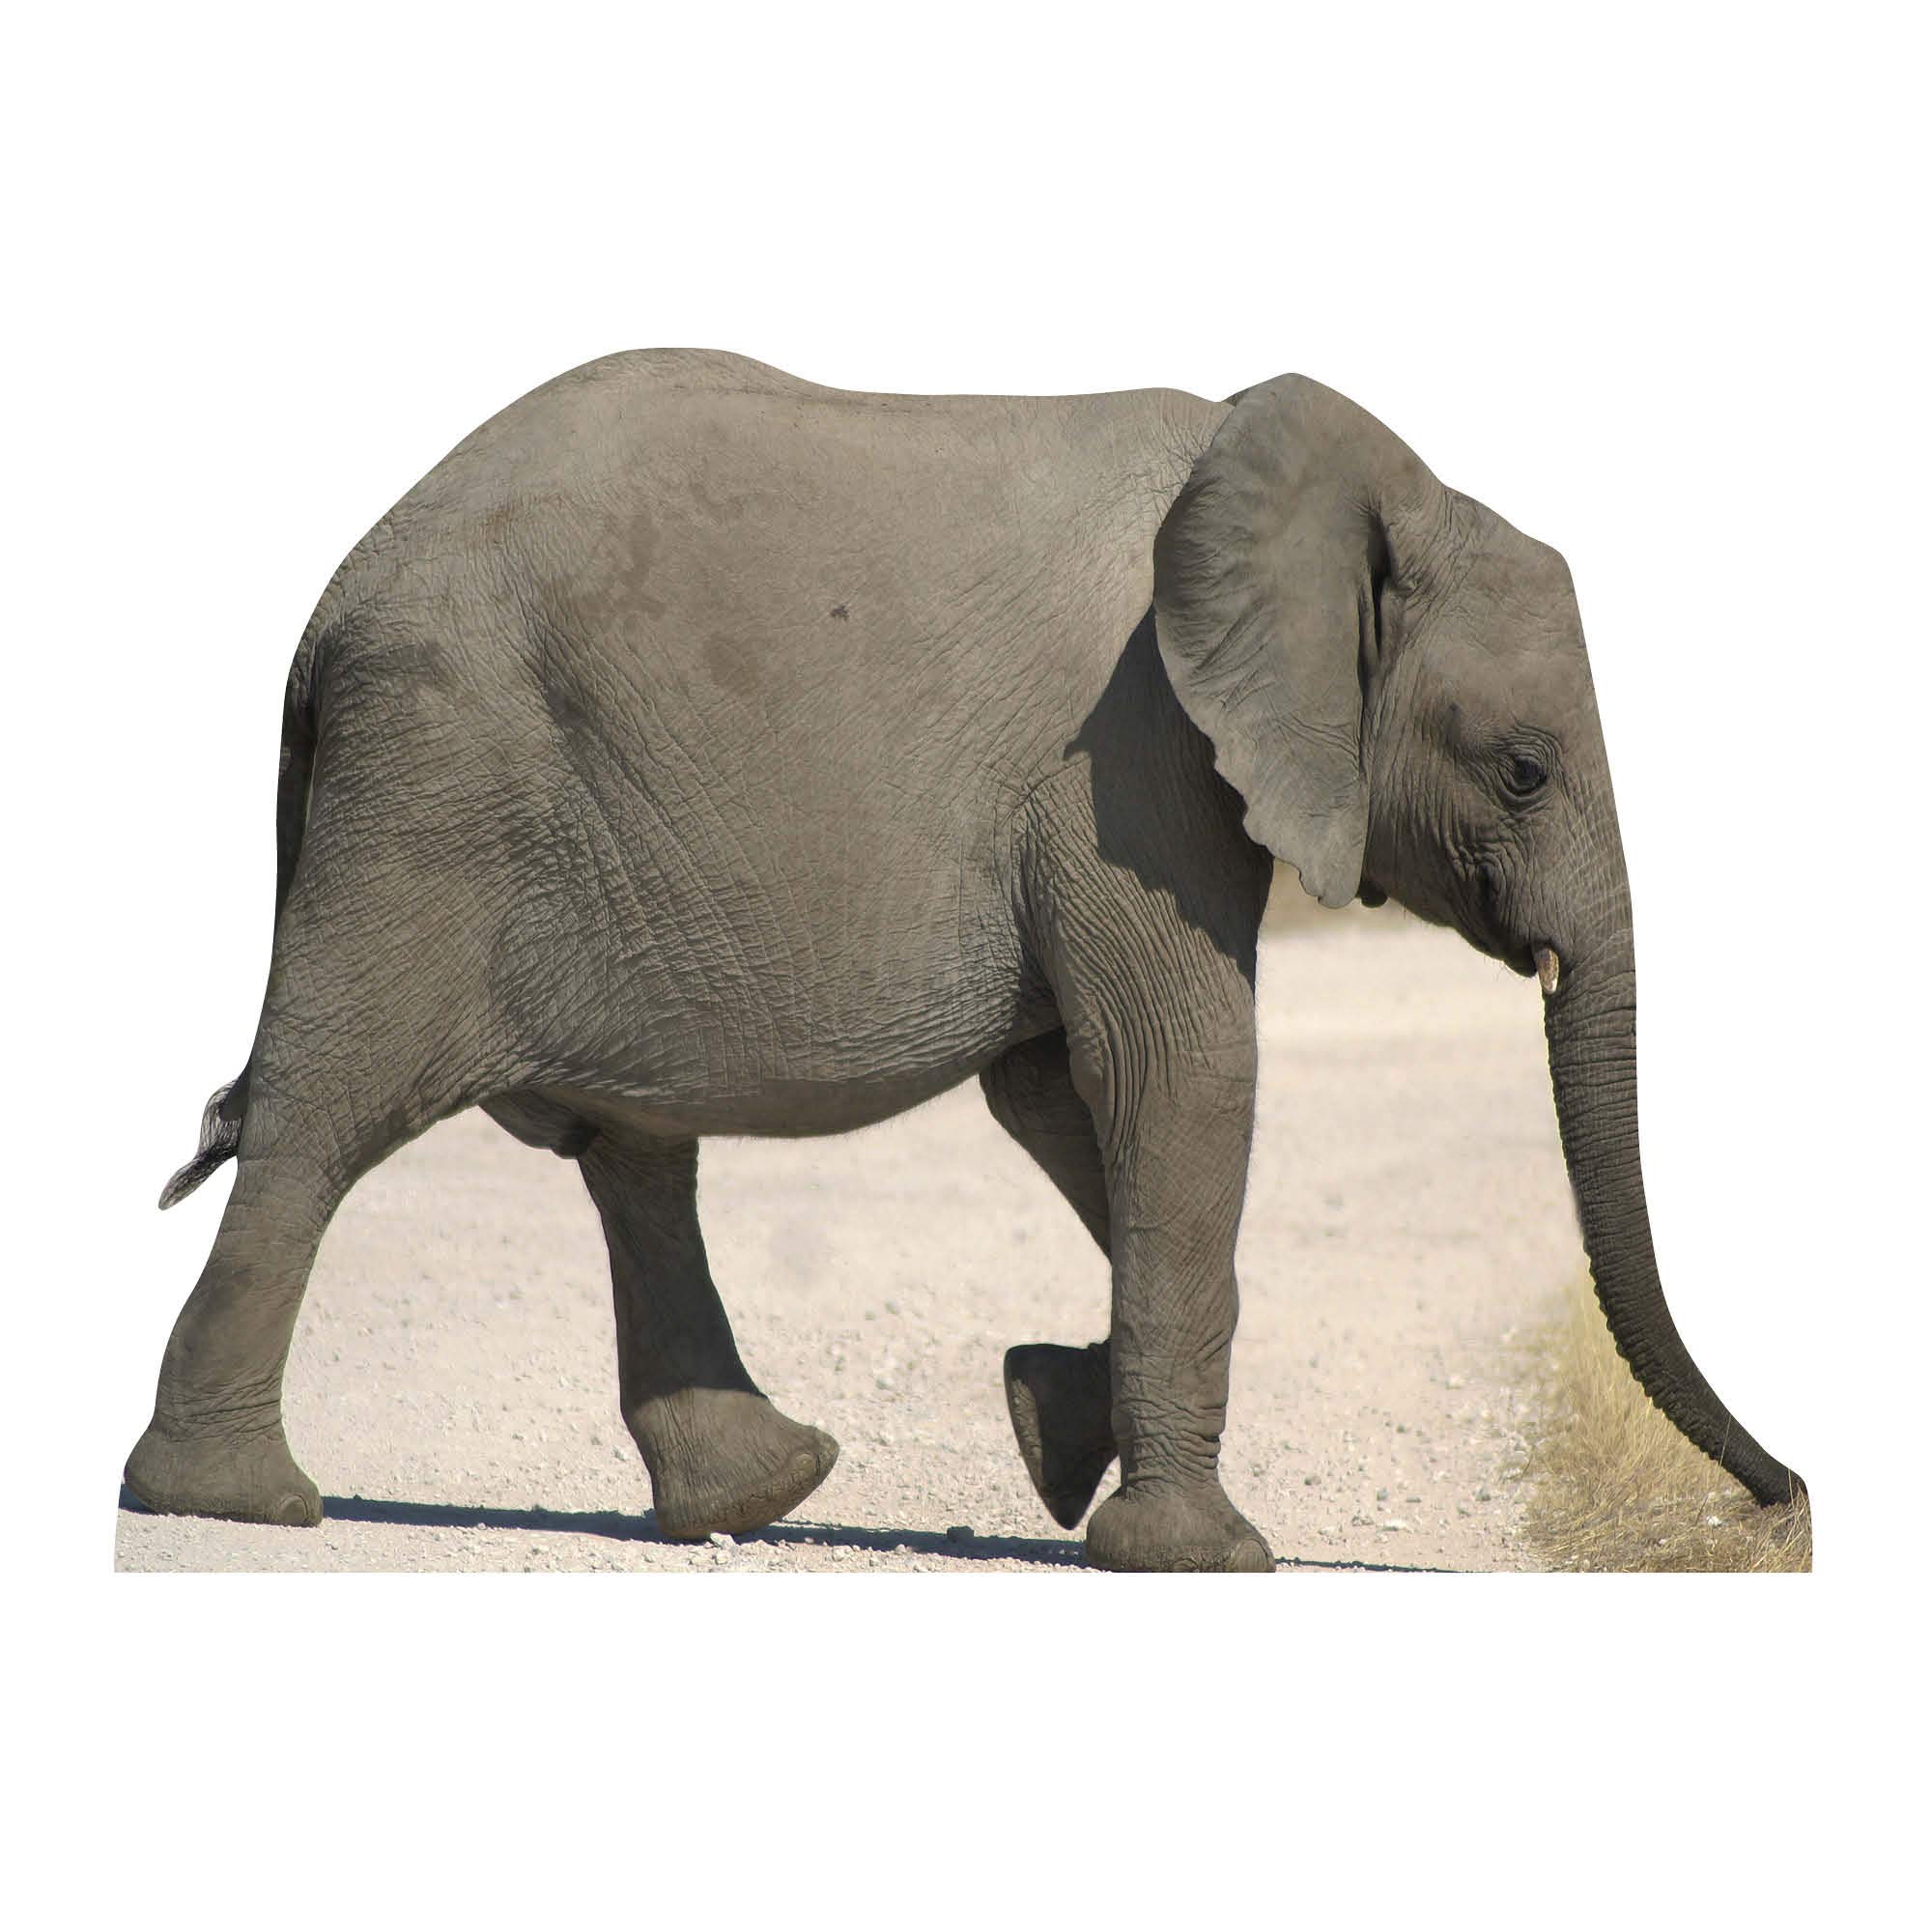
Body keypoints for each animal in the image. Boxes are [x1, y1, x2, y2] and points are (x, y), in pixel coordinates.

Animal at [126, 349, 1805, 1571]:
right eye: (1522, 771)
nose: (1780, 1503)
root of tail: (327, 610)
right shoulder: (1135, 757)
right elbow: (1177, 1073)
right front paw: (1194, 1553)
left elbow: (1068, 1096)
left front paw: (1050, 1423)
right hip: (435, 795)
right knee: (328, 1116)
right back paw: (237, 1502)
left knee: (631, 1154)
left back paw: (757, 1495)